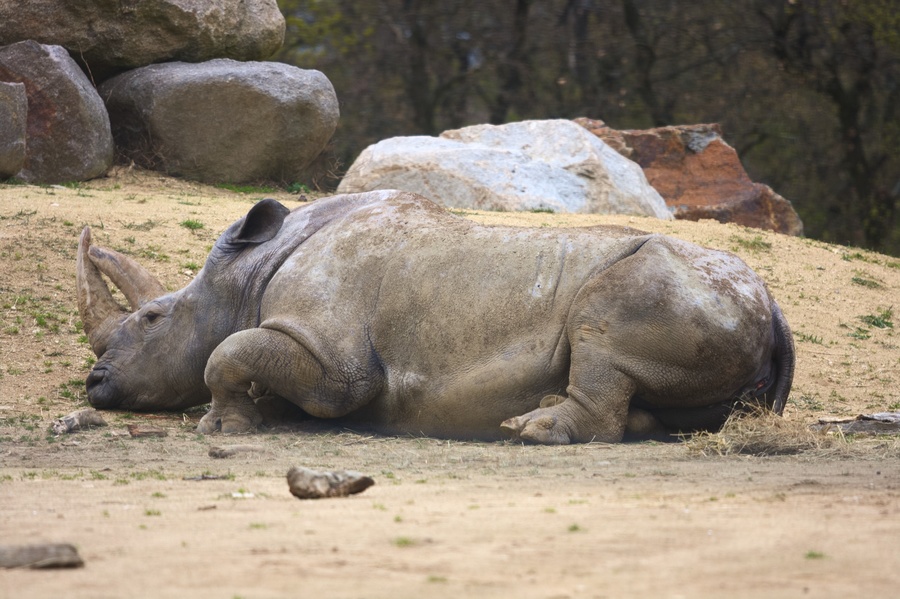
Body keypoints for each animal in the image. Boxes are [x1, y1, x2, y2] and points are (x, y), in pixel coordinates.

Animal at [77, 191, 794, 444]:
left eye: (152, 317)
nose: (95, 383)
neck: (247, 272)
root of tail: (773, 302)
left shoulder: (336, 362)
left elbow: (228, 353)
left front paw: (224, 424)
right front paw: (264, 413)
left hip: (683, 286)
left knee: (604, 323)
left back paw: (527, 429)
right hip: (719, 296)